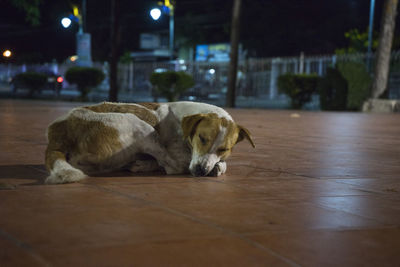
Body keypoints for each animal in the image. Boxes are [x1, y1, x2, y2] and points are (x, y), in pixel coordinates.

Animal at [44, 101, 256, 185]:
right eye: (202, 138)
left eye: (224, 148)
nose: (200, 171)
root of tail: (57, 132)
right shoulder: (181, 153)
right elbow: (178, 163)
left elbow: (222, 162)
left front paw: (217, 166)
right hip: (140, 126)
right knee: (172, 166)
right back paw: (144, 164)